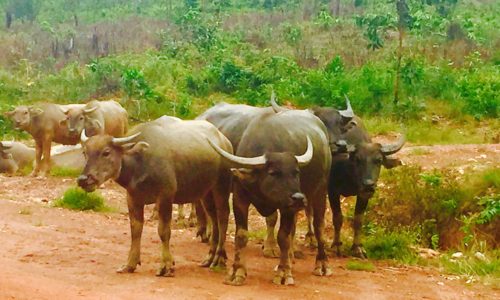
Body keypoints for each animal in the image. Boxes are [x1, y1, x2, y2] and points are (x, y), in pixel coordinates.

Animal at [78, 116, 234, 276]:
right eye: (85, 152)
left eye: (106, 152)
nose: (83, 179)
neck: (140, 163)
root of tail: (224, 141)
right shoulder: (133, 198)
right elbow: (135, 230)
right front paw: (130, 264)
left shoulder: (165, 196)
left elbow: (163, 231)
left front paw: (166, 265)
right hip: (206, 193)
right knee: (214, 219)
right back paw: (210, 257)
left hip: (221, 187)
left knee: (223, 217)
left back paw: (219, 259)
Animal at [208, 108, 332, 286]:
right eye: (274, 173)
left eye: (296, 172)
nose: (299, 198)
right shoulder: (240, 198)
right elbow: (241, 235)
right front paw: (237, 271)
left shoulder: (287, 207)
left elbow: (283, 237)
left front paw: (283, 273)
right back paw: (291, 259)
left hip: (320, 190)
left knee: (319, 226)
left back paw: (322, 265)